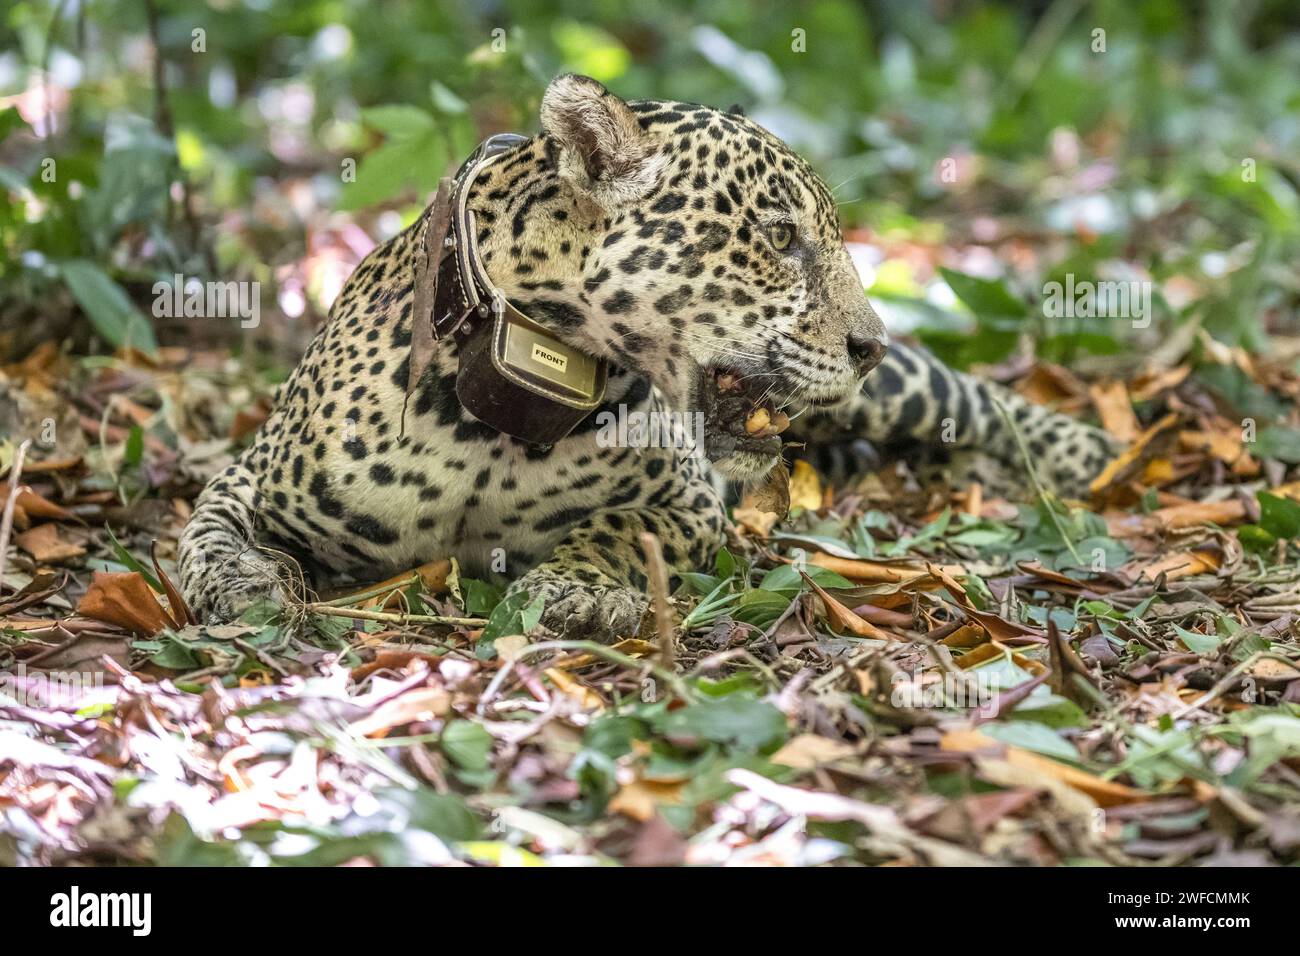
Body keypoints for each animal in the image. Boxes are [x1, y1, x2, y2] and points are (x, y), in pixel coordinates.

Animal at [178, 74, 1118, 640]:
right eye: (781, 237)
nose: (872, 345)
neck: (498, 431)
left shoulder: (686, 503)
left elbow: (615, 526)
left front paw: (577, 589)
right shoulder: (255, 474)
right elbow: (203, 530)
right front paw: (245, 586)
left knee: (970, 397)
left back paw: (1089, 452)